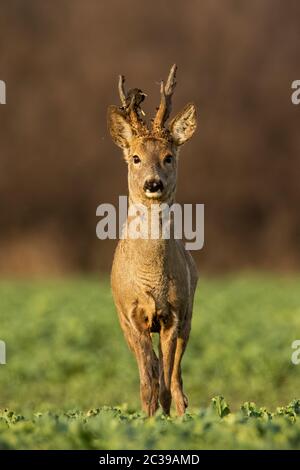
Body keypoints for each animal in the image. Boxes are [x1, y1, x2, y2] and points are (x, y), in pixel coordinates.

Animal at [106, 65, 198, 414]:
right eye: (135, 157)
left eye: (168, 156)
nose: (153, 183)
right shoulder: (130, 316)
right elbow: (148, 384)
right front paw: (146, 419)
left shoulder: (174, 313)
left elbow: (167, 386)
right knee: (157, 373)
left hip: (189, 315)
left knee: (176, 381)